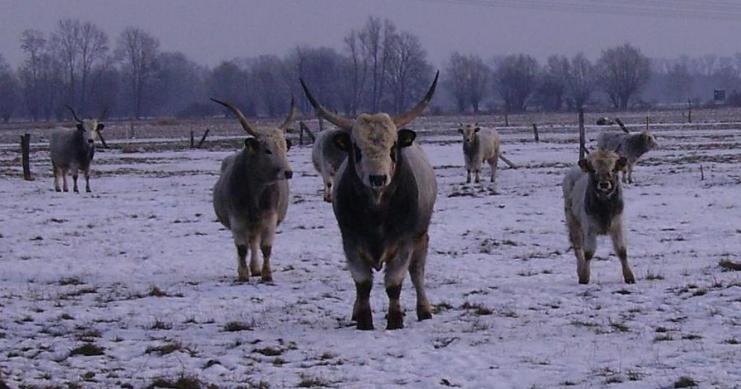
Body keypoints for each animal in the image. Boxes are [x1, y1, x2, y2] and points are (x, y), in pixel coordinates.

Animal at [208, 98, 294, 280]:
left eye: (284, 148)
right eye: (267, 150)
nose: (288, 172)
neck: (255, 194)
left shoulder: (270, 218)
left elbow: (266, 247)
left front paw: (266, 274)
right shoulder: (237, 220)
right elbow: (241, 249)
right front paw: (242, 275)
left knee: (254, 243)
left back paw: (255, 268)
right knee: (248, 244)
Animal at [300, 71, 440, 328]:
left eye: (393, 147)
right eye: (357, 149)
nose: (378, 178)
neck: (377, 211)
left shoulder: (404, 243)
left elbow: (394, 283)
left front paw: (395, 321)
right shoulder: (351, 242)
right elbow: (362, 284)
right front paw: (364, 321)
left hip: (421, 237)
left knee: (417, 272)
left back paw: (424, 309)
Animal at [560, 150, 636, 284]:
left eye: (613, 169)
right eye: (593, 170)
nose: (604, 184)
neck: (604, 207)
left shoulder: (618, 225)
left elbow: (622, 251)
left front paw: (629, 277)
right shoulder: (589, 228)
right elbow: (588, 252)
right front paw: (584, 276)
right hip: (573, 221)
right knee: (578, 248)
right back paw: (580, 270)